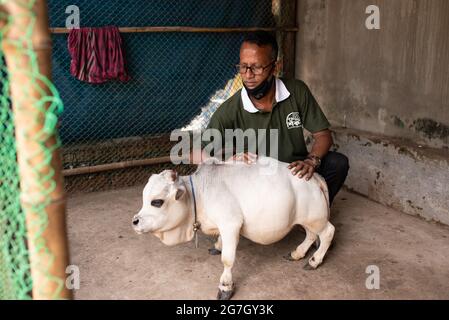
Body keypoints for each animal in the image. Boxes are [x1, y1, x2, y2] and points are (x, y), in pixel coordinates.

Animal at [131, 158, 334, 300]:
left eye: (157, 202)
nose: (135, 221)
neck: (200, 194)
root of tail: (315, 177)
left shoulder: (231, 224)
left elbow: (227, 260)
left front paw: (225, 287)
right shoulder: (223, 225)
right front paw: (217, 246)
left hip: (316, 219)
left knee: (327, 233)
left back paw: (314, 261)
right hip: (307, 219)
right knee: (310, 235)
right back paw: (297, 253)